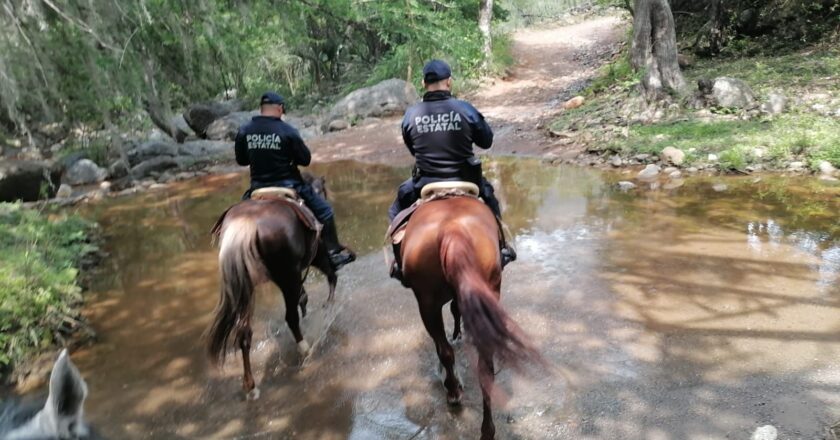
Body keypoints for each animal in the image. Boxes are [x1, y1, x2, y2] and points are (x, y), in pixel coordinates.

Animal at [205, 174, 340, 398]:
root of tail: (247, 223)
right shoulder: (315, 254)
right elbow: (330, 274)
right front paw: (328, 306)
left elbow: (304, 296)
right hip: (287, 275)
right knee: (291, 317)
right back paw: (305, 350)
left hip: (247, 285)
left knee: (243, 332)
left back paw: (251, 387)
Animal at [398, 197, 540, 440]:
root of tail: (452, 229)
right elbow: (456, 310)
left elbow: (454, 313)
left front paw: (456, 336)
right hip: (482, 289)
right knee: (484, 368)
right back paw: (486, 429)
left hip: (428, 303)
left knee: (447, 351)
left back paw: (454, 392)